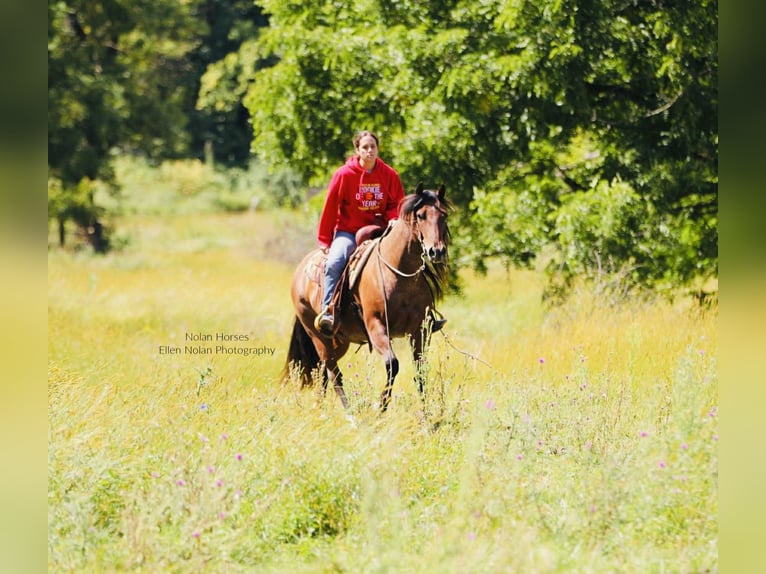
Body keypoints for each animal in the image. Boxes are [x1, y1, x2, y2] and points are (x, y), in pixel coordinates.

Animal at [283, 182, 450, 412]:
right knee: (333, 373)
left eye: (444, 215)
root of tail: (301, 269)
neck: (398, 273)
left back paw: (321, 408)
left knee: (322, 372)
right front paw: (380, 407)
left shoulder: (419, 331)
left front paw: (426, 416)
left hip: (339, 341)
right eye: (421, 215)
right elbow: (393, 364)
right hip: (318, 336)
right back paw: (350, 413)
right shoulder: (376, 327)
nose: (437, 251)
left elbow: (420, 373)